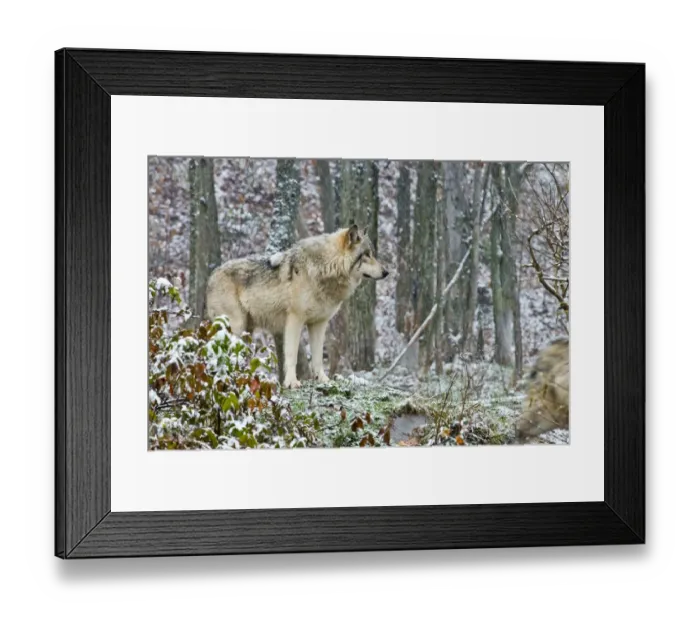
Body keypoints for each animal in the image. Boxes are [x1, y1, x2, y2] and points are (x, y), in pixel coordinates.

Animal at [205, 224, 389, 389]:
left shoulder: (319, 324)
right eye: (366, 255)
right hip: (237, 327)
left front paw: (323, 380)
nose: (386, 272)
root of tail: (211, 275)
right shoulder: (295, 319)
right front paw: (292, 382)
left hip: (246, 331)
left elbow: (317, 356)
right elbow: (292, 354)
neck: (324, 268)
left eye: (372, 254)